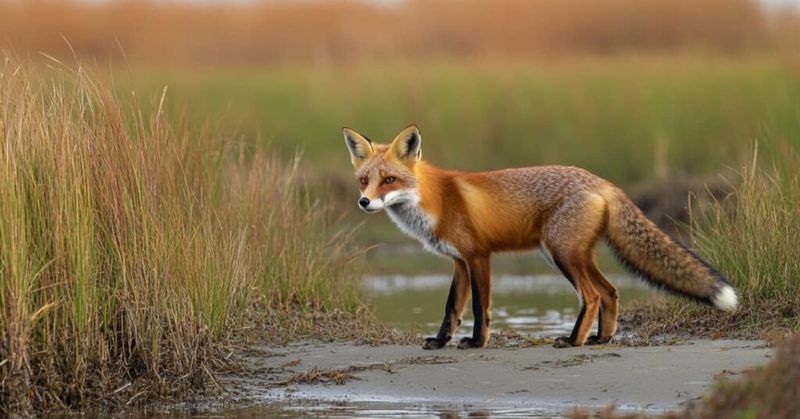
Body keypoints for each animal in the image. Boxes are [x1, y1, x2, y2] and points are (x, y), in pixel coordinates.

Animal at [343, 125, 738, 350]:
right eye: (364, 180)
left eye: (389, 180)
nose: (364, 202)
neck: (436, 199)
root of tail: (601, 181)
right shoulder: (458, 261)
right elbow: (451, 308)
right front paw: (441, 342)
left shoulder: (478, 257)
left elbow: (479, 307)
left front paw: (476, 342)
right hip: (574, 254)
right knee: (610, 291)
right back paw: (601, 338)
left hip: (561, 254)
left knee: (592, 295)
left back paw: (573, 341)